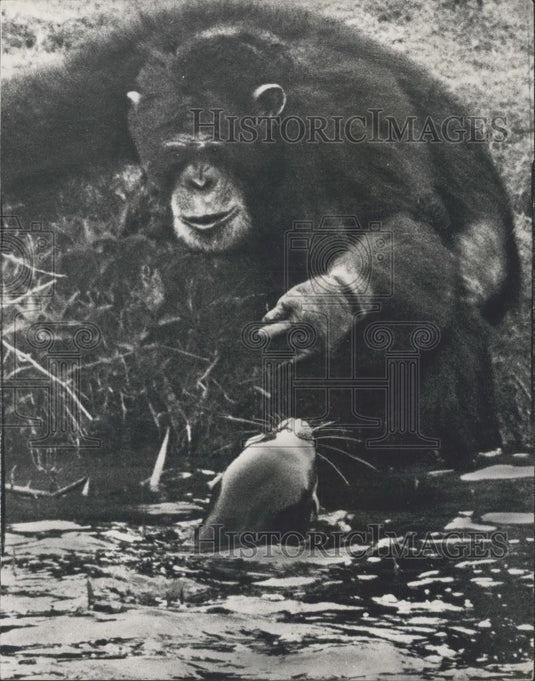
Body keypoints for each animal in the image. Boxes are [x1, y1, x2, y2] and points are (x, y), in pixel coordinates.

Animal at [1, 1, 520, 469]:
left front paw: (325, 302)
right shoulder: (108, 75)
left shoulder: (342, 124)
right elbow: (34, 120)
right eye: (176, 154)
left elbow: (408, 221)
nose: (200, 181)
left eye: (215, 148)